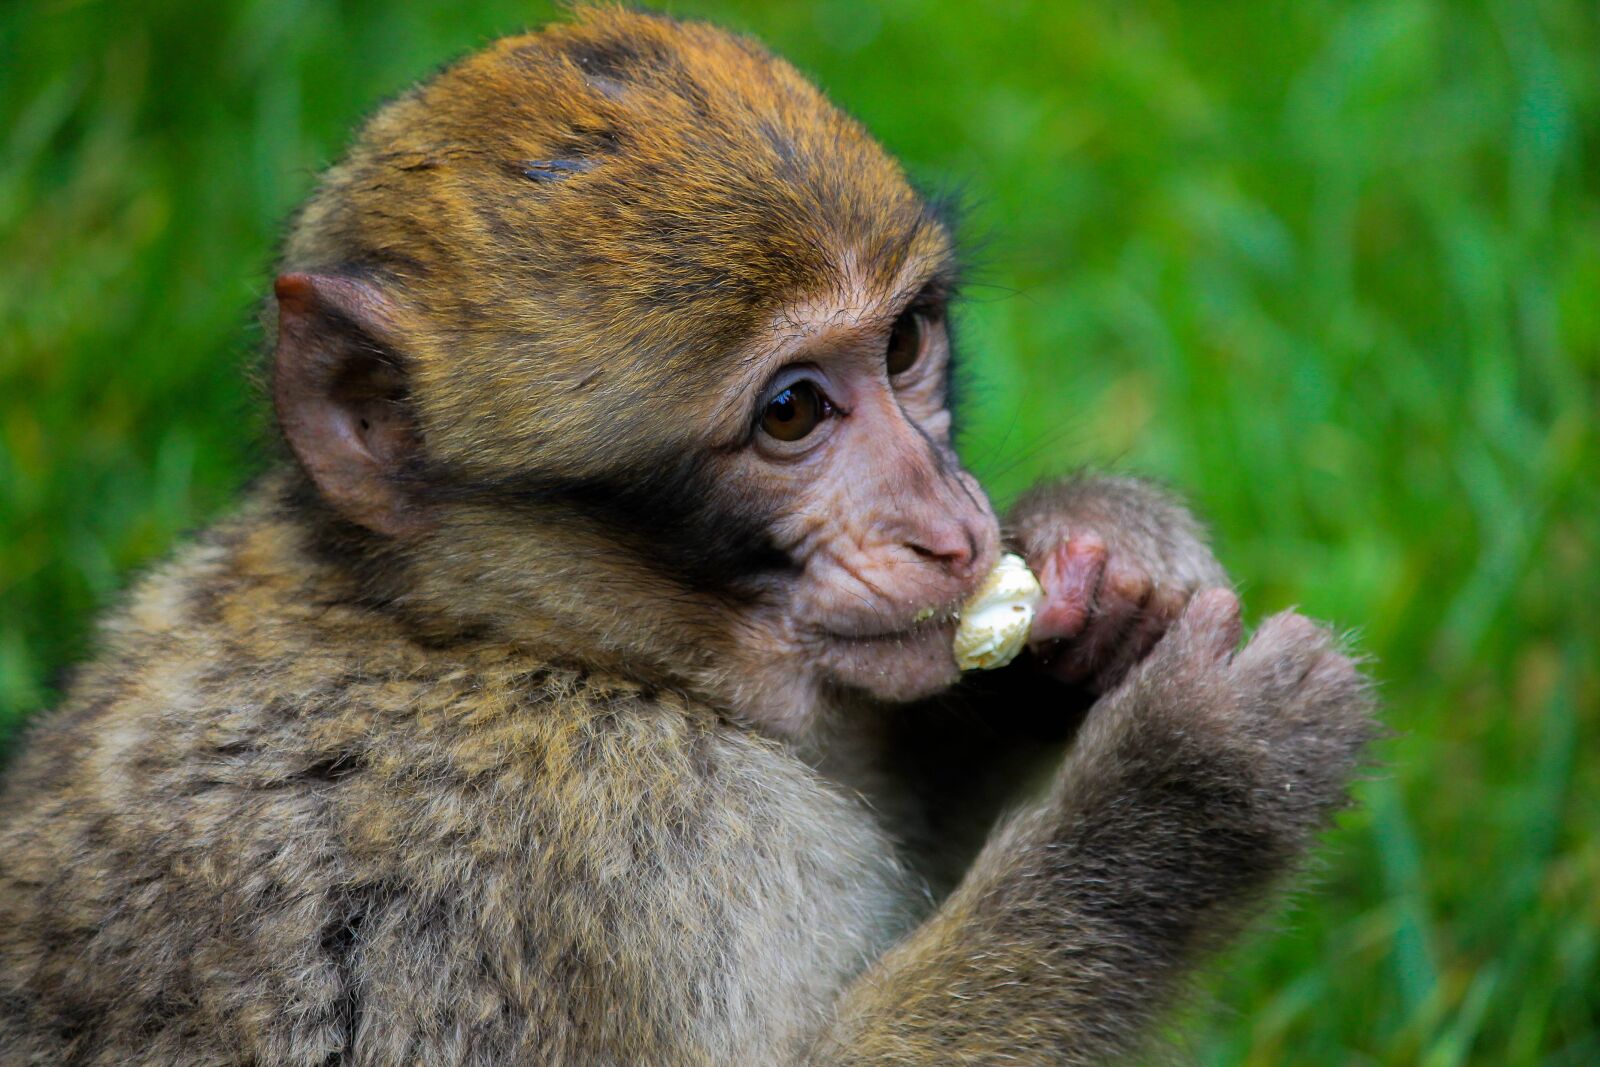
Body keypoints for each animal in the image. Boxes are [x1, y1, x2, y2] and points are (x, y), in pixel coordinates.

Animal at [0, 7, 1376, 1066]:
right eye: (792, 411)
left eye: (905, 344)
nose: (951, 527)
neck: (503, 638)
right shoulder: (604, 854)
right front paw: (1193, 781)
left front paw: (1102, 562)